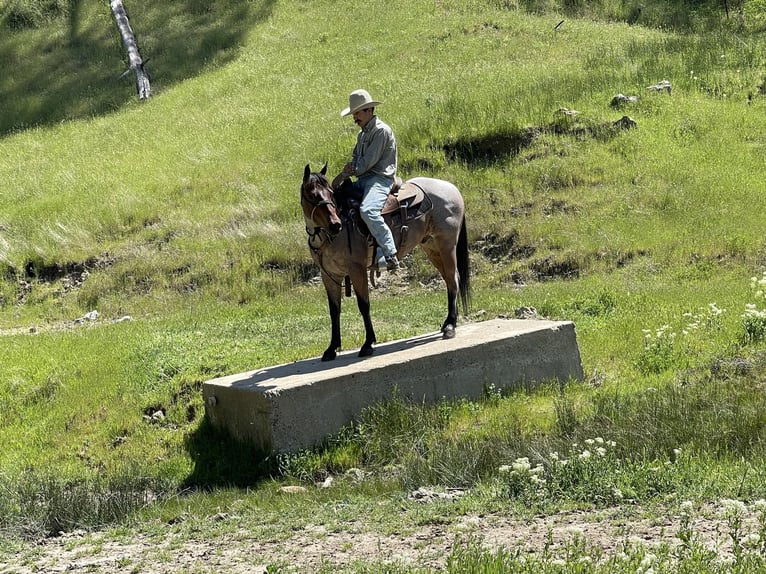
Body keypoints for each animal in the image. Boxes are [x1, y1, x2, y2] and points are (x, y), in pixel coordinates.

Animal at [302, 163, 472, 360]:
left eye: (330, 193)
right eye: (313, 195)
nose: (336, 224)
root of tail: (451, 188)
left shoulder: (357, 269)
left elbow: (364, 305)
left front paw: (368, 344)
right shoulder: (329, 275)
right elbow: (334, 310)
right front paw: (331, 348)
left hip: (446, 246)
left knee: (453, 280)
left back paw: (451, 325)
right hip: (432, 248)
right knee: (451, 279)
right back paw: (449, 323)